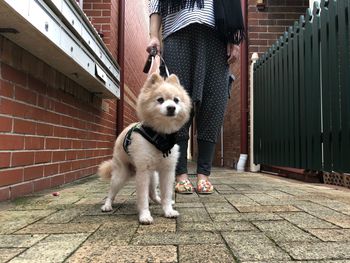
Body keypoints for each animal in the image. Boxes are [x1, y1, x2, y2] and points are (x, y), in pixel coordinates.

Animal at [98, 73, 191, 225]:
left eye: (176, 100)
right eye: (160, 100)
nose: (171, 107)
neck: (161, 137)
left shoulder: (167, 171)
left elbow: (166, 194)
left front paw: (168, 210)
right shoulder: (143, 172)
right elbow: (142, 198)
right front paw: (145, 215)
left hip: (153, 176)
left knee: (153, 193)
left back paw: (158, 201)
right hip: (121, 175)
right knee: (111, 192)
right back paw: (107, 205)